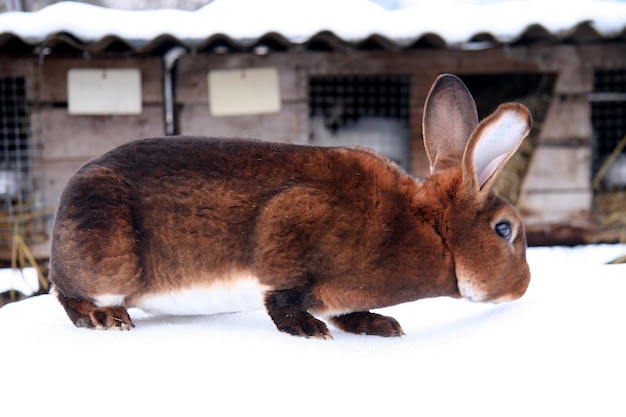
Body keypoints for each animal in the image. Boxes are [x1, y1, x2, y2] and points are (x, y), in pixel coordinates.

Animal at [47, 73, 532, 336]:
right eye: (504, 229)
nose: (524, 287)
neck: (425, 227)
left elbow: (346, 311)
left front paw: (379, 325)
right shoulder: (291, 230)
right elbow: (282, 299)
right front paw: (308, 330)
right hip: (107, 254)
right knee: (68, 295)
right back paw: (107, 319)